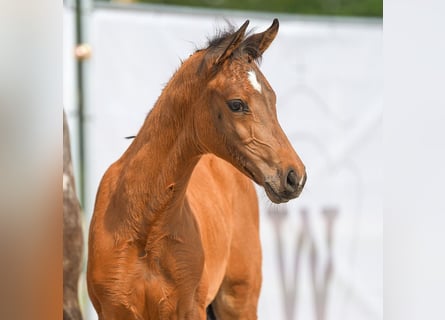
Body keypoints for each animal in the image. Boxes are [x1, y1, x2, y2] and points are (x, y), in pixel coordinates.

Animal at [88, 18, 306, 318]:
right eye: (236, 104)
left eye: (272, 98)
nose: (295, 176)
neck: (145, 228)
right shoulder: (113, 309)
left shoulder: (190, 309)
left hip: (239, 300)